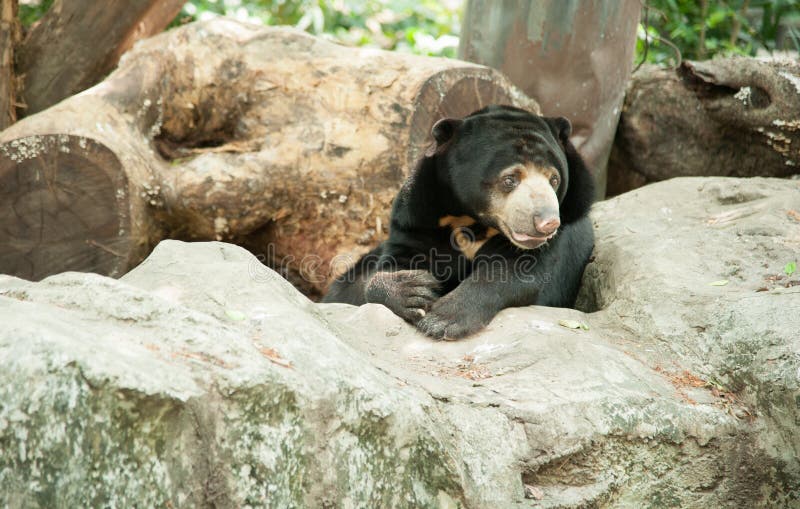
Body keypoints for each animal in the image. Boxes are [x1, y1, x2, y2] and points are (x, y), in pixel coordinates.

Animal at [322, 104, 595, 340]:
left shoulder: (567, 226)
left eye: (554, 179)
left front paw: (443, 320)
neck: (472, 220)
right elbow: (394, 265)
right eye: (510, 179)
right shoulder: (418, 218)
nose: (546, 223)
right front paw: (413, 292)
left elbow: (519, 272)